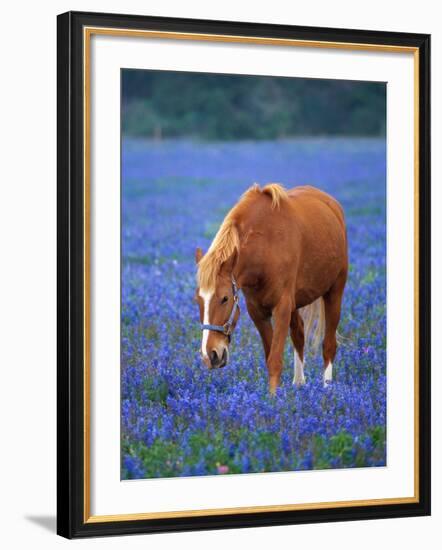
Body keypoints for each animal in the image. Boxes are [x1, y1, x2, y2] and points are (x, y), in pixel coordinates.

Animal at [195, 183, 348, 394]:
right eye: (198, 300)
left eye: (225, 298)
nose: (210, 355)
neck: (265, 248)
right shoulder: (258, 311)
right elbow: (270, 356)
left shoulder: (282, 307)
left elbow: (275, 360)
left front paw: (273, 399)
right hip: (296, 302)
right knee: (299, 334)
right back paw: (299, 384)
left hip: (334, 291)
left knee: (329, 345)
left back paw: (327, 389)